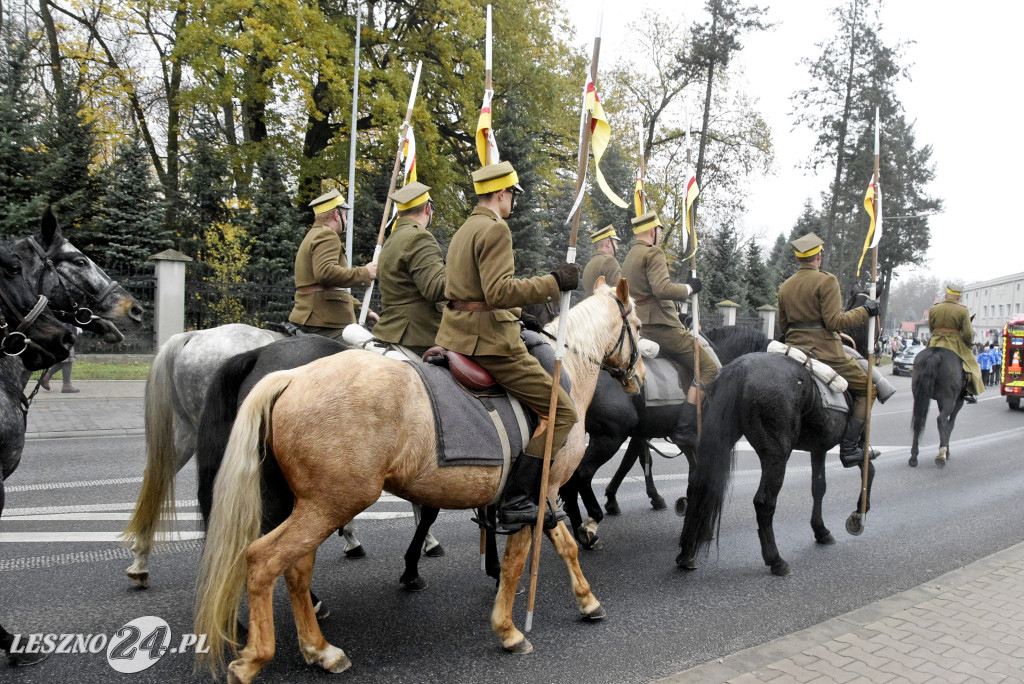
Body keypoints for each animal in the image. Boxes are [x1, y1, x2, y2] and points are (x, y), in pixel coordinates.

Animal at [194, 280, 643, 679]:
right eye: (637, 324)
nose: (638, 379)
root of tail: (289, 376)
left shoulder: (531, 498)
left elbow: (553, 544)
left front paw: (575, 601)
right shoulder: (541, 491)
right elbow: (532, 557)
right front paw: (514, 626)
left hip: (312, 506)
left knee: (296, 569)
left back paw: (320, 650)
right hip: (329, 505)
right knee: (262, 560)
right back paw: (254, 657)